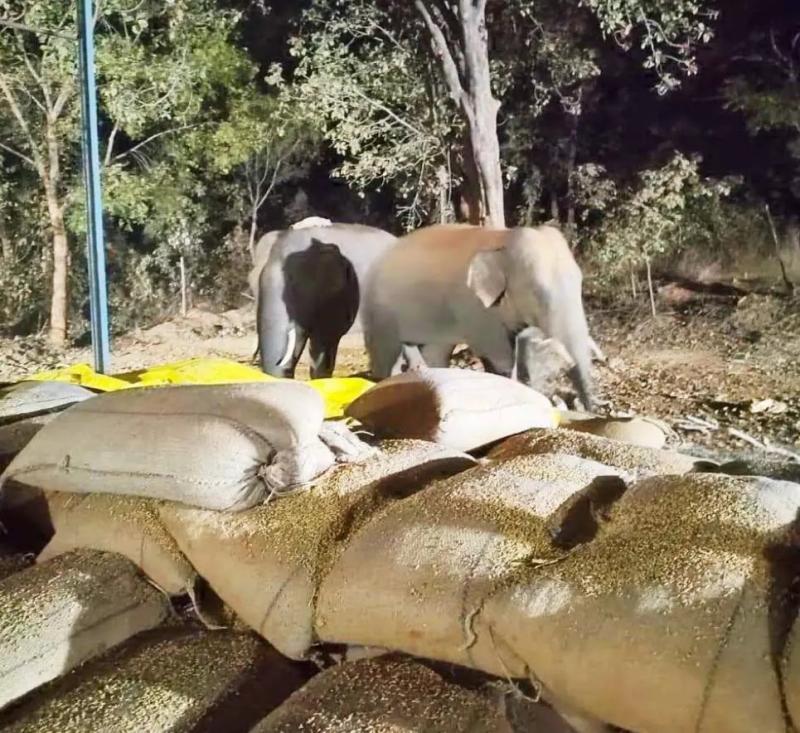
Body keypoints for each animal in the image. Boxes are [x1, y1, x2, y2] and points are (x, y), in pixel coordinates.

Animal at [362, 223, 594, 409]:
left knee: (433, 351)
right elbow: (499, 357)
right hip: (379, 310)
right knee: (387, 355)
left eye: (580, 283)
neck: (504, 238)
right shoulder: (475, 308)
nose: (583, 406)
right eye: (539, 292)